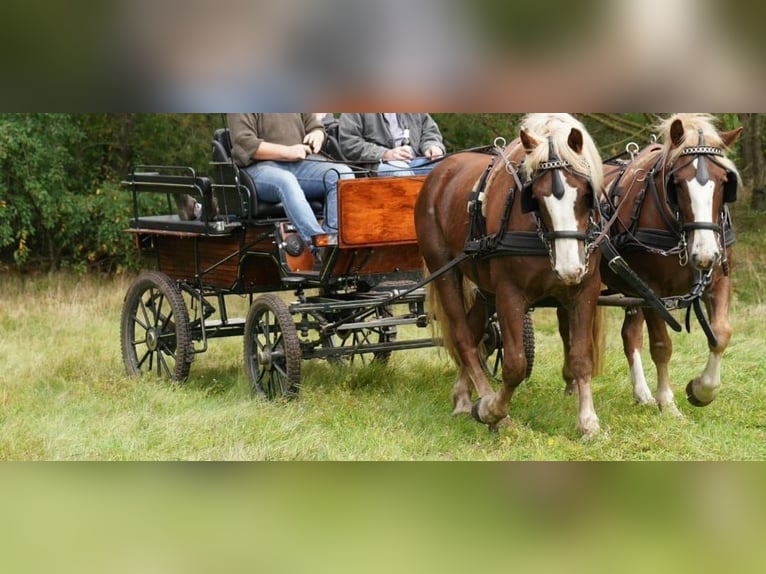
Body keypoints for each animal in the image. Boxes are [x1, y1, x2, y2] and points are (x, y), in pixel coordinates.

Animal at [415, 113, 605, 437]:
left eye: (584, 194)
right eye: (536, 198)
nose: (569, 268)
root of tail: (440, 171)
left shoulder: (585, 289)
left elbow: (581, 357)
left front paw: (588, 421)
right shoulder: (510, 292)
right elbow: (515, 364)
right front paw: (493, 410)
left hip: (485, 287)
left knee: (475, 332)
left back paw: (463, 396)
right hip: (445, 270)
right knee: (463, 337)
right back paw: (482, 399)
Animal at [599, 113, 742, 415]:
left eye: (724, 182)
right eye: (676, 182)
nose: (705, 254)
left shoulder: (719, 279)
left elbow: (721, 334)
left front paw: (702, 390)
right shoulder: (652, 290)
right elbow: (662, 345)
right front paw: (667, 402)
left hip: (630, 290)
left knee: (630, 335)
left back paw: (641, 393)